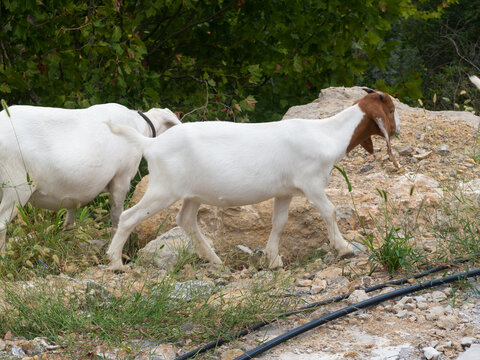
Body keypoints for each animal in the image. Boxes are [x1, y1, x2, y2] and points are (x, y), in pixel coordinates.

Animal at [0, 102, 180, 252]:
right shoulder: (121, 177)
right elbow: (116, 213)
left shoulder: (72, 192)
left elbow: (70, 219)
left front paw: (68, 241)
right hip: (16, 186)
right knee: (2, 224)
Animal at [106, 89, 402, 270]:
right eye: (390, 109)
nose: (398, 130)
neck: (327, 133)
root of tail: (151, 144)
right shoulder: (311, 183)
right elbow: (329, 210)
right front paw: (344, 249)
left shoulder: (285, 191)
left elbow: (279, 222)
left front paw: (273, 260)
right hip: (164, 188)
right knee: (129, 216)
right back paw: (116, 262)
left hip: (192, 194)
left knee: (186, 220)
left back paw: (215, 260)